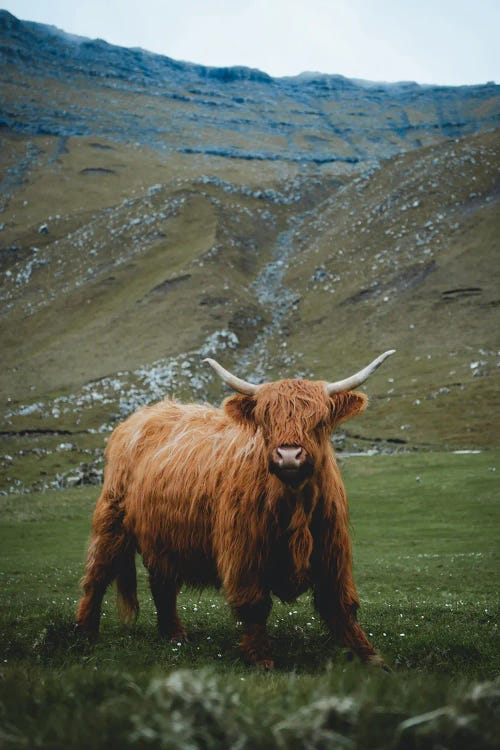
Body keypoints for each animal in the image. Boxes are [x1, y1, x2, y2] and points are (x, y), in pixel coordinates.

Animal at [76, 352, 394, 668]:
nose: (289, 455)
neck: (294, 505)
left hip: (163, 536)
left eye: (319, 419)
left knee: (162, 583)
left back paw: (174, 634)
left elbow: (340, 604)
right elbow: (254, 606)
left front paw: (370, 656)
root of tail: (143, 414)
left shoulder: (332, 551)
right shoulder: (244, 551)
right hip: (112, 519)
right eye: (266, 418)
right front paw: (261, 659)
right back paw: (86, 633)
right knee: (97, 575)